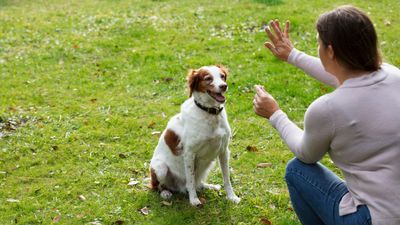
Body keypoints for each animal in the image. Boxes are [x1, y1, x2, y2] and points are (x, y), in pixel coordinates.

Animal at [148, 64, 239, 206]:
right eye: (208, 78)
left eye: (222, 76)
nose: (224, 86)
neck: (210, 113)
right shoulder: (189, 154)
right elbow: (190, 180)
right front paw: (194, 200)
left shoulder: (224, 151)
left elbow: (226, 178)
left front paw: (231, 197)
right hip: (160, 167)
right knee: (156, 186)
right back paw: (165, 193)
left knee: (198, 183)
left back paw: (209, 186)